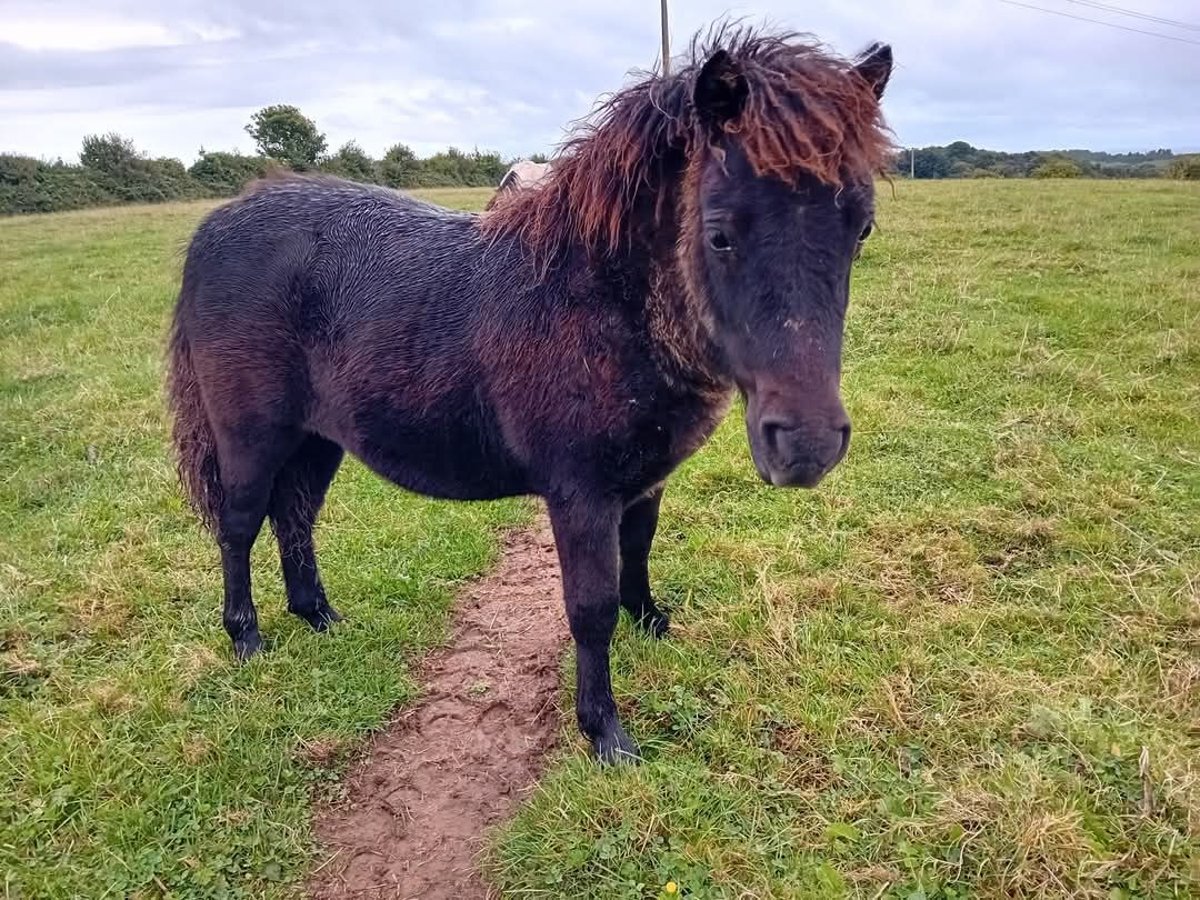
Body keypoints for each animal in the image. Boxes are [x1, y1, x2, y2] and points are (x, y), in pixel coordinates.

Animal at [174, 26, 897, 763]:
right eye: (720, 232)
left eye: (861, 228)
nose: (806, 444)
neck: (595, 299)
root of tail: (215, 228)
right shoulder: (580, 495)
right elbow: (590, 608)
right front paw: (605, 732)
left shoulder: (644, 482)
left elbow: (639, 551)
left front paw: (652, 624)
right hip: (252, 436)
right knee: (240, 524)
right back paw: (247, 637)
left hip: (318, 440)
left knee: (295, 517)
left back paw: (319, 616)